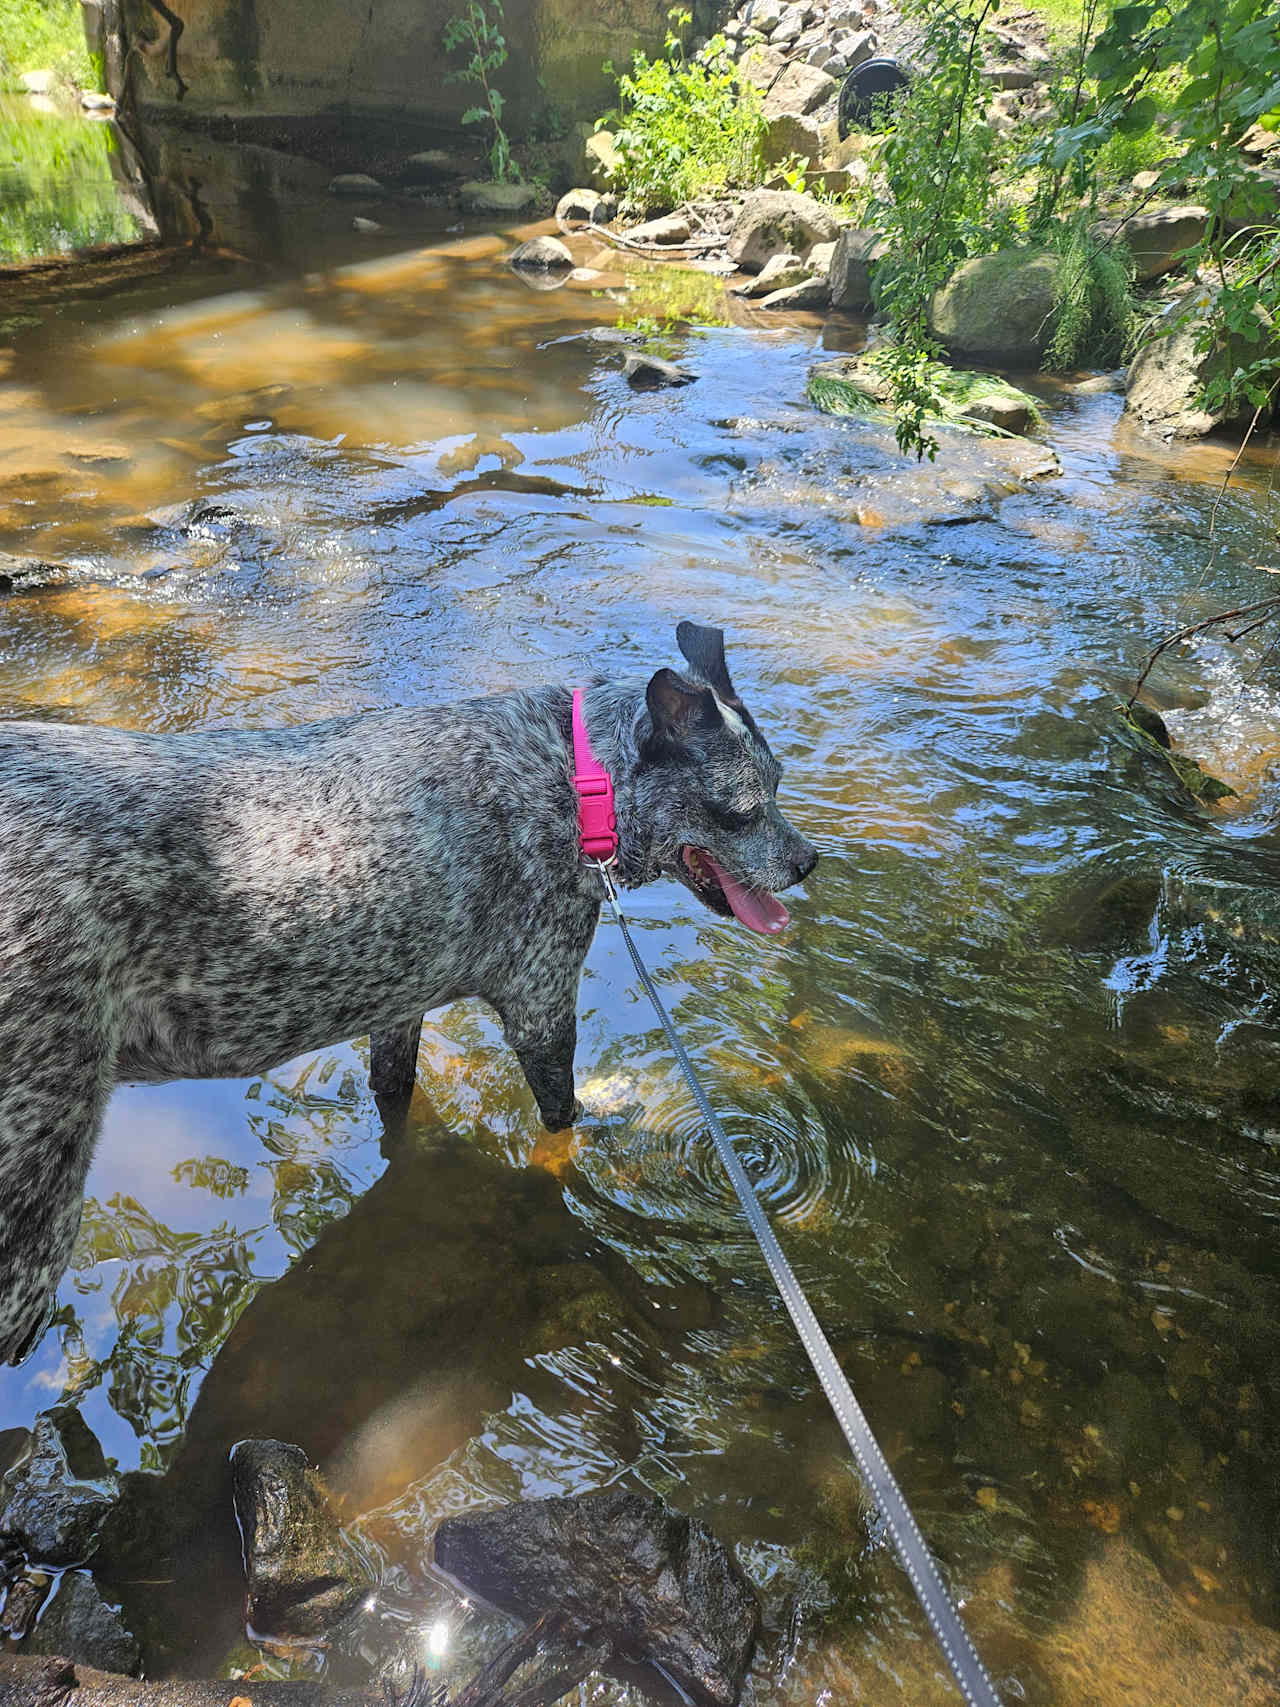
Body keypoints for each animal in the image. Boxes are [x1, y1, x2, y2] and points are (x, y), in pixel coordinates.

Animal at [0, 621, 815, 1365]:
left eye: (778, 783)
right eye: (741, 808)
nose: (808, 861)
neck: (575, 781)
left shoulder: (398, 1004)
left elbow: (396, 1097)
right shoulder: (542, 1005)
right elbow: (564, 1123)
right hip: (37, 1198)